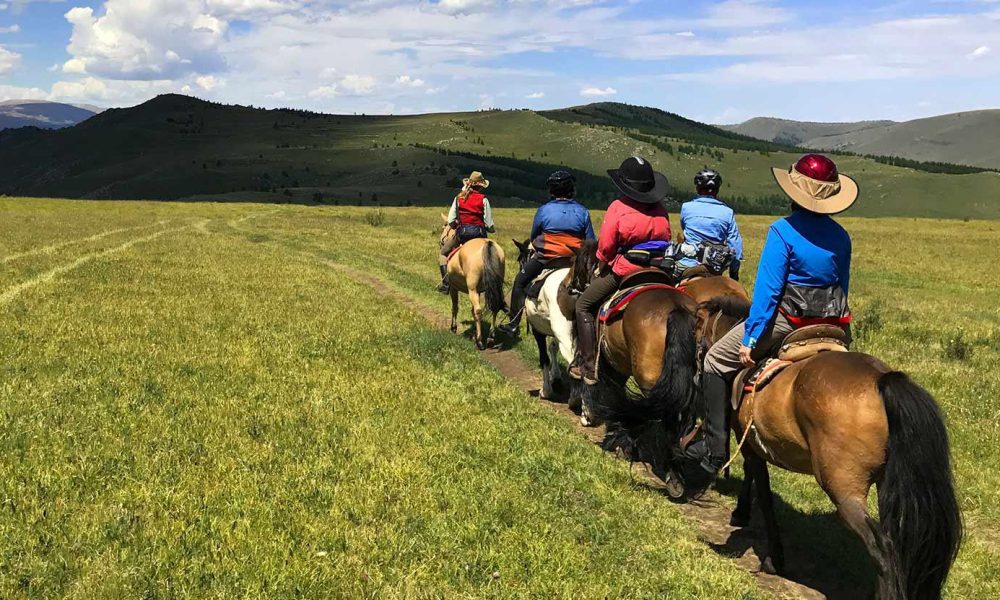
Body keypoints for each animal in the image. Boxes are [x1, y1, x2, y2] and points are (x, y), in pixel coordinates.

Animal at [439, 218, 507, 350]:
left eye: (445, 227)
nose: (441, 241)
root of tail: (487, 244)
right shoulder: (479, 291)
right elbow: (472, 311)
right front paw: (475, 330)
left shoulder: (454, 288)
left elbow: (455, 307)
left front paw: (453, 327)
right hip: (495, 286)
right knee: (494, 307)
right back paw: (490, 338)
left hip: (472, 290)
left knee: (478, 310)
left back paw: (480, 341)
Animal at [512, 239, 578, 404]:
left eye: (520, 259)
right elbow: (553, 348)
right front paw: (556, 377)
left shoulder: (538, 331)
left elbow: (544, 358)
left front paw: (546, 390)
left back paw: (576, 399)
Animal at [689, 302, 963, 599]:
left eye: (696, 328)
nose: (695, 371)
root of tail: (882, 379)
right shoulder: (751, 443)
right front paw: (742, 514)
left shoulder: (749, 443)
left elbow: (764, 495)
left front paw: (773, 558)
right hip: (887, 485)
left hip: (843, 488)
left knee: (883, 549)